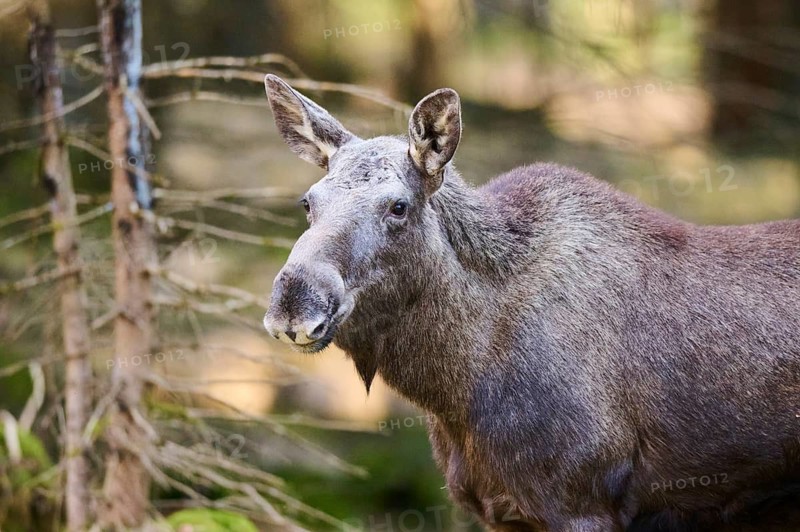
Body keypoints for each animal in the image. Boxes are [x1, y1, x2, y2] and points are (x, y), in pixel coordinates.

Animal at [260, 74, 800, 531]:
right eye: (307, 202)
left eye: (399, 206)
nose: (294, 303)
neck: (457, 389)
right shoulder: (500, 509)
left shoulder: (583, 502)